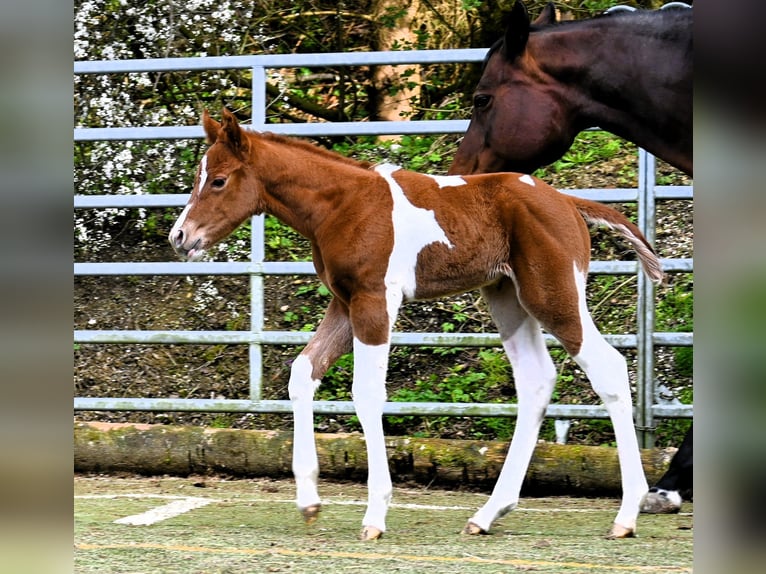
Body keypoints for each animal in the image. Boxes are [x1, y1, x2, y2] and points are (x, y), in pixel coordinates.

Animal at [171, 109, 664, 544]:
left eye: (218, 180)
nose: (180, 237)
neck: (343, 204)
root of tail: (566, 201)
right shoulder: (344, 303)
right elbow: (302, 373)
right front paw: (309, 500)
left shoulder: (375, 301)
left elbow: (367, 394)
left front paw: (374, 516)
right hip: (507, 297)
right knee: (537, 380)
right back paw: (488, 514)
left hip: (553, 296)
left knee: (608, 368)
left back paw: (626, 515)